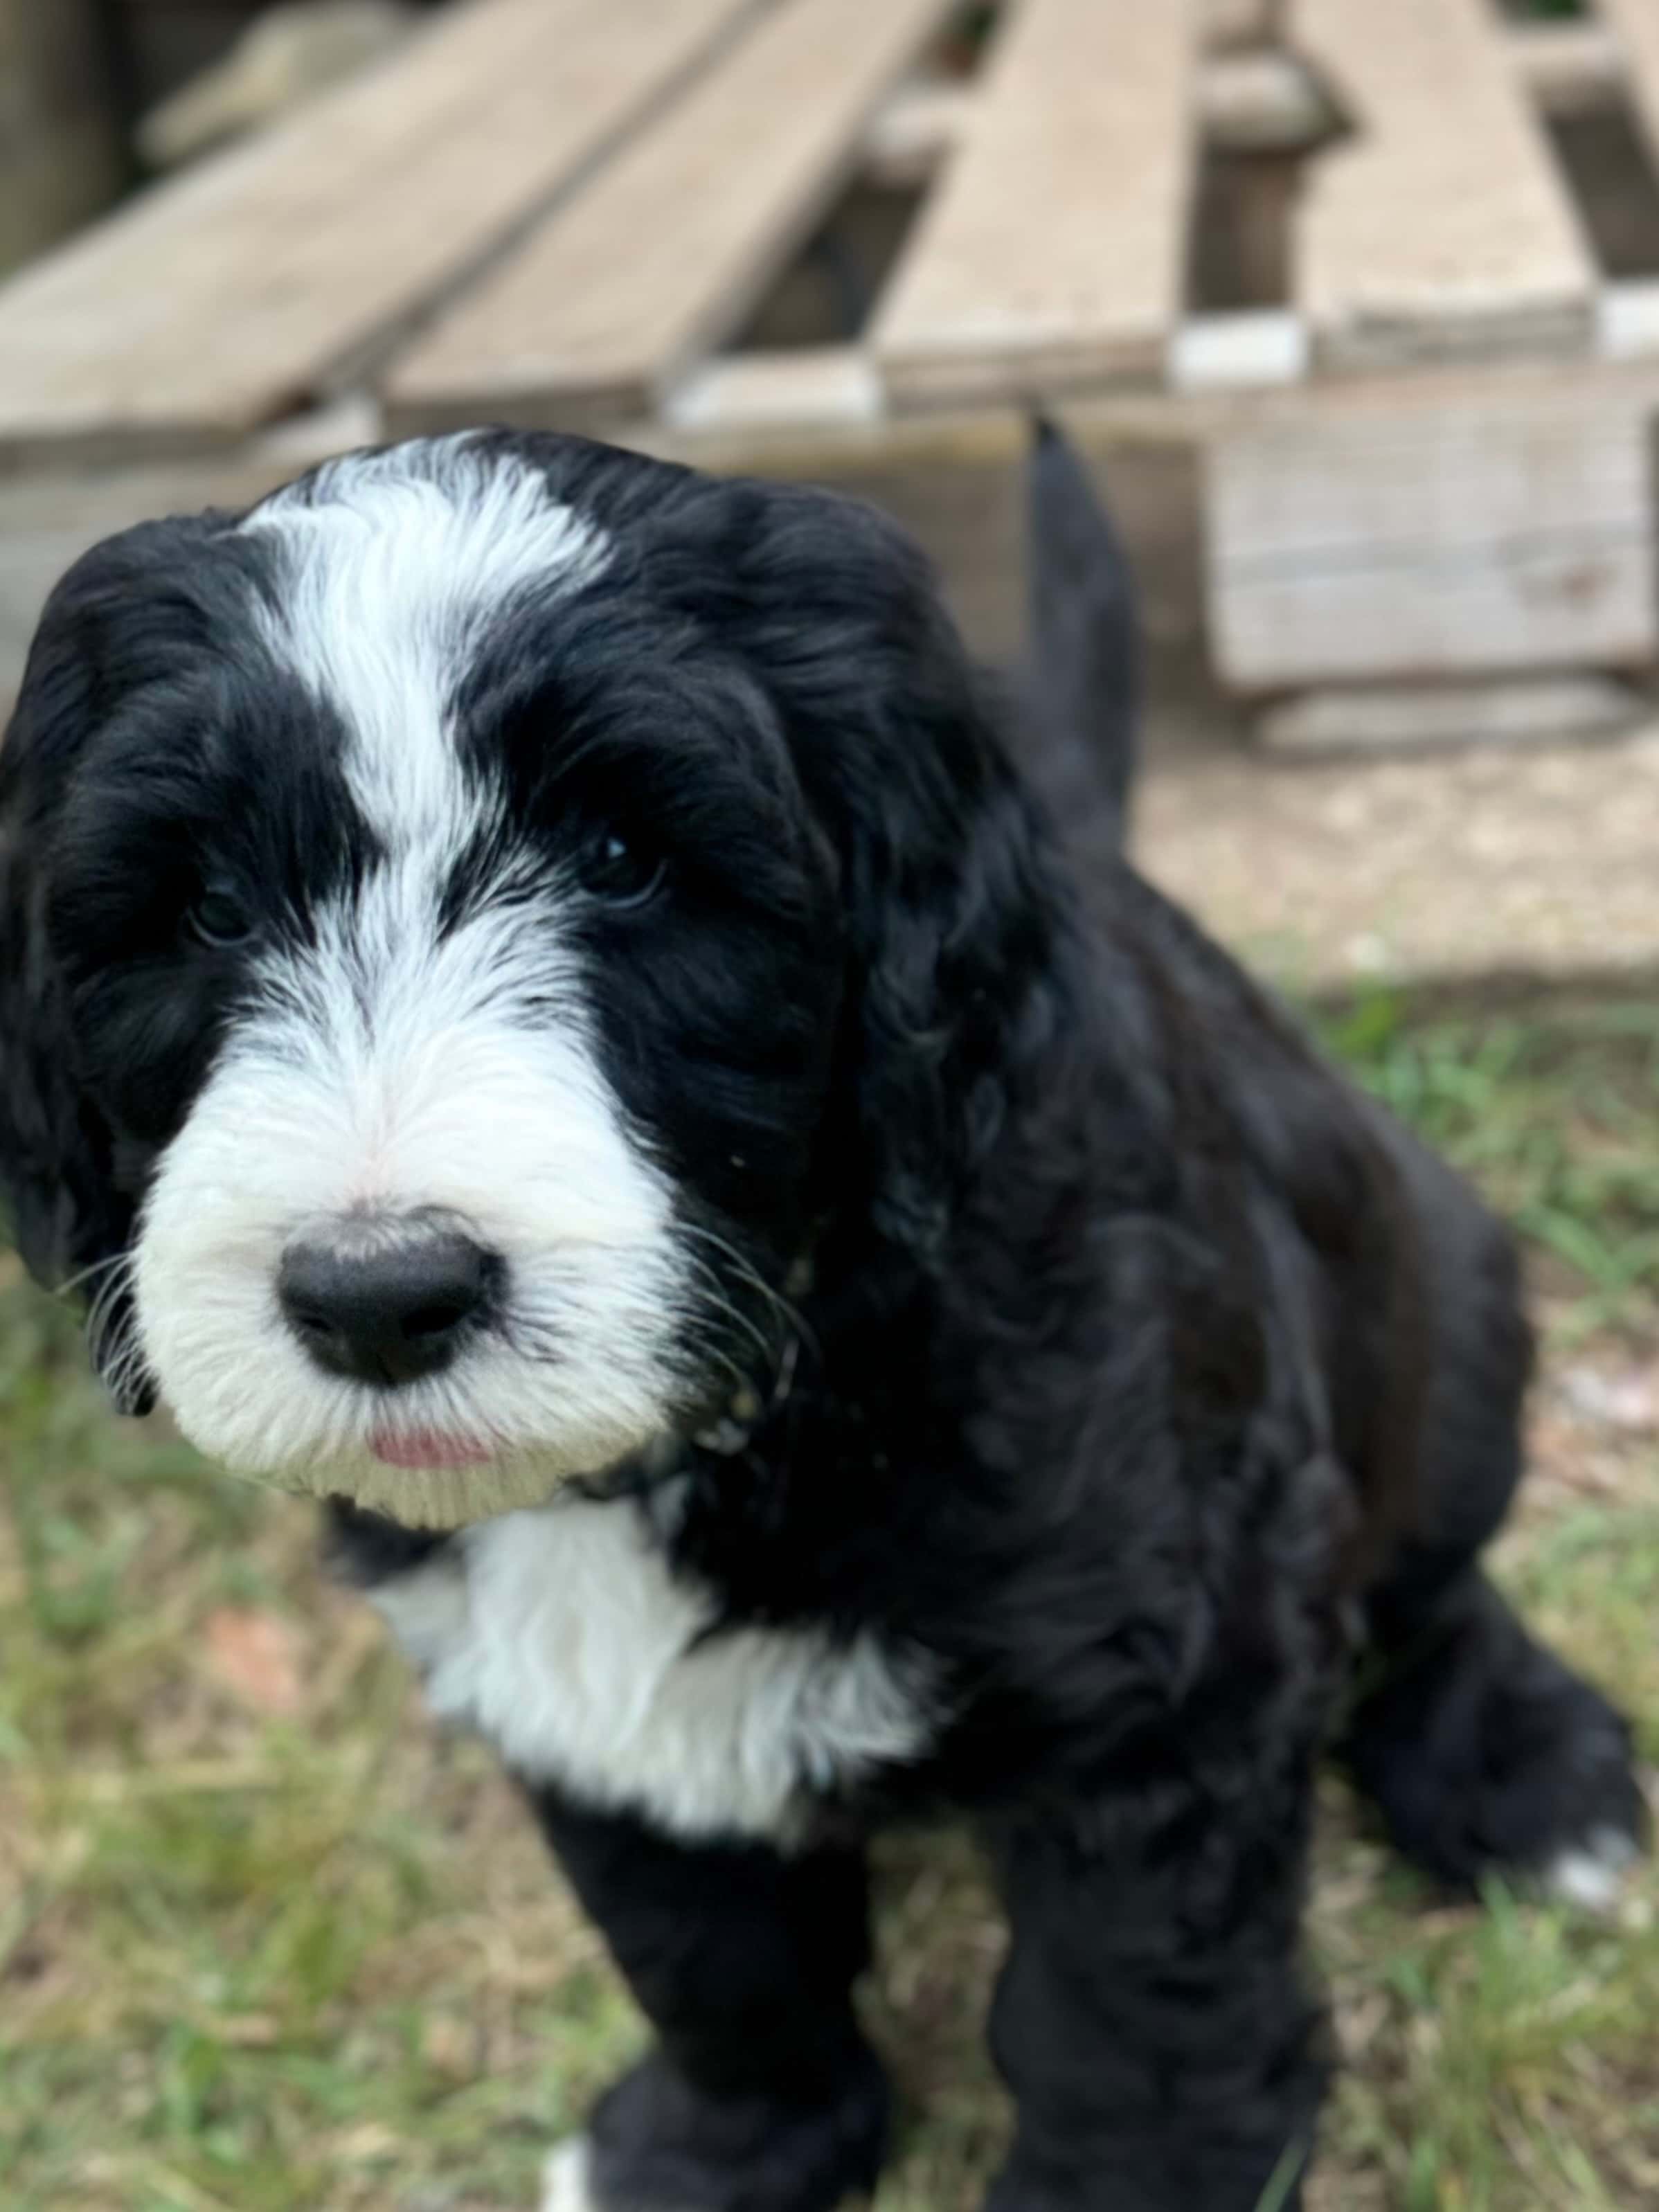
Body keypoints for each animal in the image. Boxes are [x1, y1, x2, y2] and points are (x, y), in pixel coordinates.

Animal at [3, 422, 1654, 2203]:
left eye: (624, 861)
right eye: (212, 909)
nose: (379, 1298)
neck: (761, 1392)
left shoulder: (1167, 1680)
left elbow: (1127, 2013)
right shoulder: (582, 1715)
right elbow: (707, 1950)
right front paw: (722, 2152)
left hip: (1439, 1294)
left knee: (1429, 1564)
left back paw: (1525, 1769)